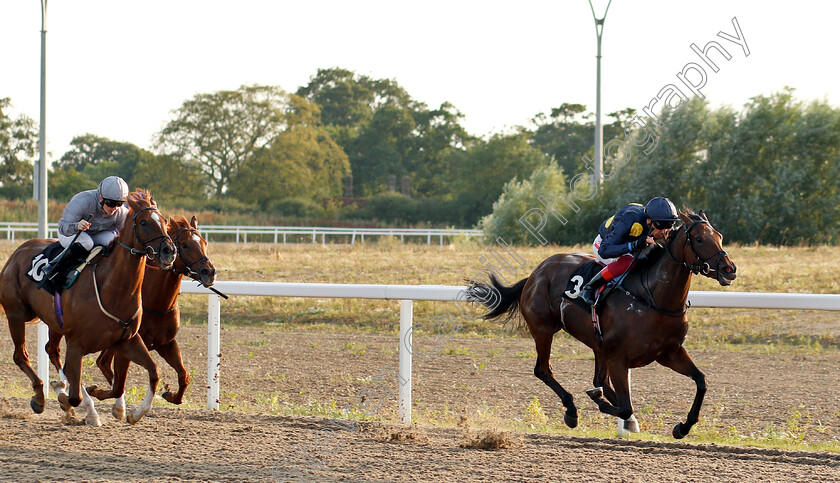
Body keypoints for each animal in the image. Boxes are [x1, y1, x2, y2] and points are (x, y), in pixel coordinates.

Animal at [0, 191, 176, 426]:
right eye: (144, 222)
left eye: (165, 221)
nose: (169, 252)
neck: (111, 287)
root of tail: (17, 252)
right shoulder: (77, 343)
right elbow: (75, 396)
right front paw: (66, 396)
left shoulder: (127, 340)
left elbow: (149, 373)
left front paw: (133, 412)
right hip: (16, 314)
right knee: (21, 356)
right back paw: (40, 396)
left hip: (54, 322)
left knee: (52, 351)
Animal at [466, 210, 736, 440]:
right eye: (699, 239)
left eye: (720, 237)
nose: (729, 269)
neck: (652, 298)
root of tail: (536, 273)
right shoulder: (619, 358)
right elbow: (625, 406)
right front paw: (606, 406)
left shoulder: (669, 353)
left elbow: (701, 381)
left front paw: (683, 427)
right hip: (543, 330)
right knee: (543, 370)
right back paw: (572, 411)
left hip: (598, 345)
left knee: (600, 380)